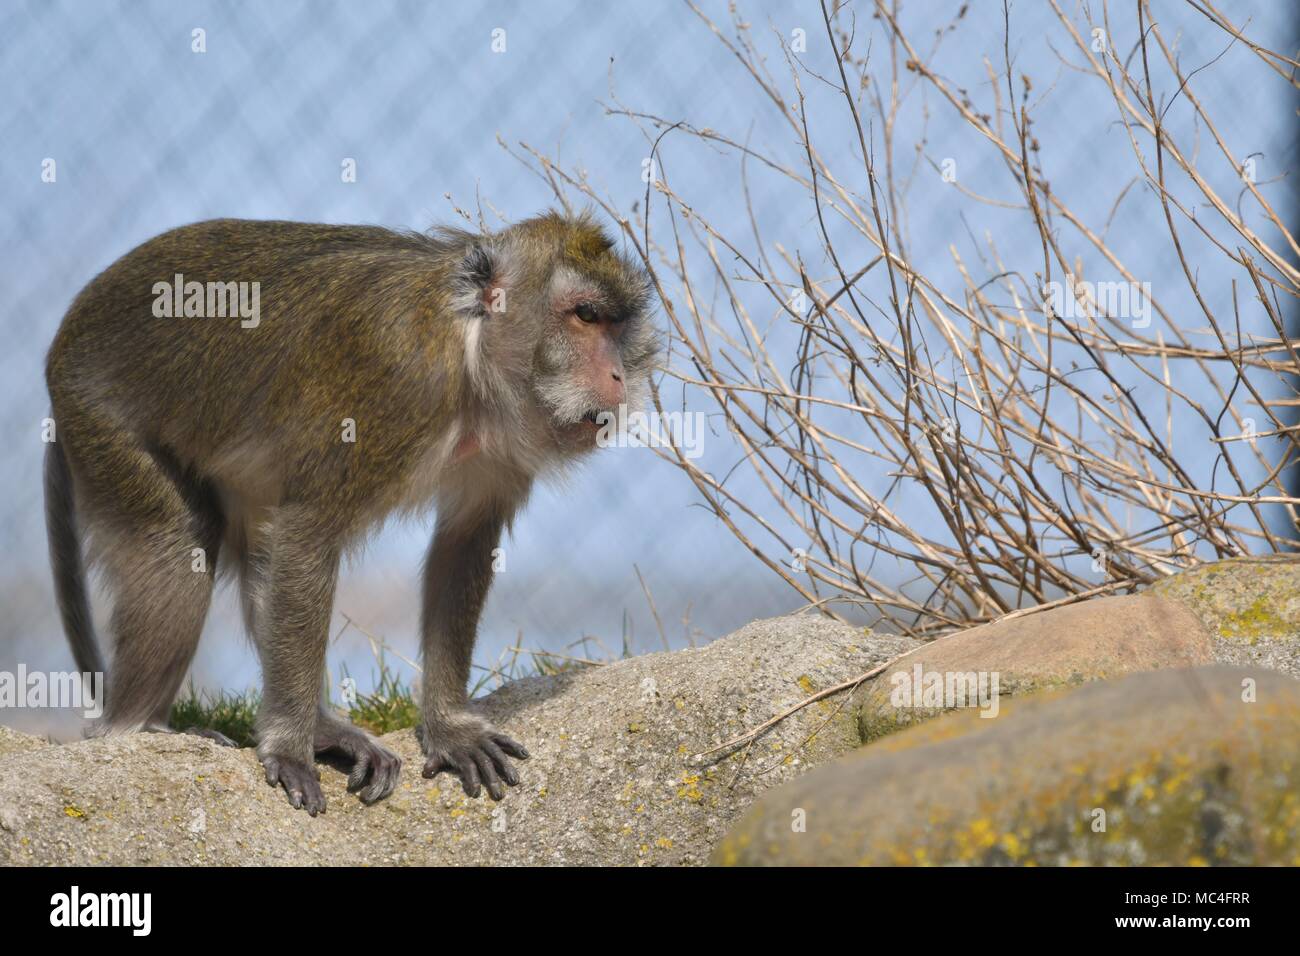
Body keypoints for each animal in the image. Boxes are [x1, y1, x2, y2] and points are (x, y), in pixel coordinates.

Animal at [44, 214, 660, 816]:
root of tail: (61, 346)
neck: (467, 351)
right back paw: (136, 728)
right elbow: (309, 531)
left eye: (617, 327)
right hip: (100, 420)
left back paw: (320, 730)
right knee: (178, 546)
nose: (618, 377)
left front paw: (448, 727)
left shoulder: (502, 449)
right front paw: (287, 748)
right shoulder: (391, 381)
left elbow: (462, 546)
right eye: (585, 315)